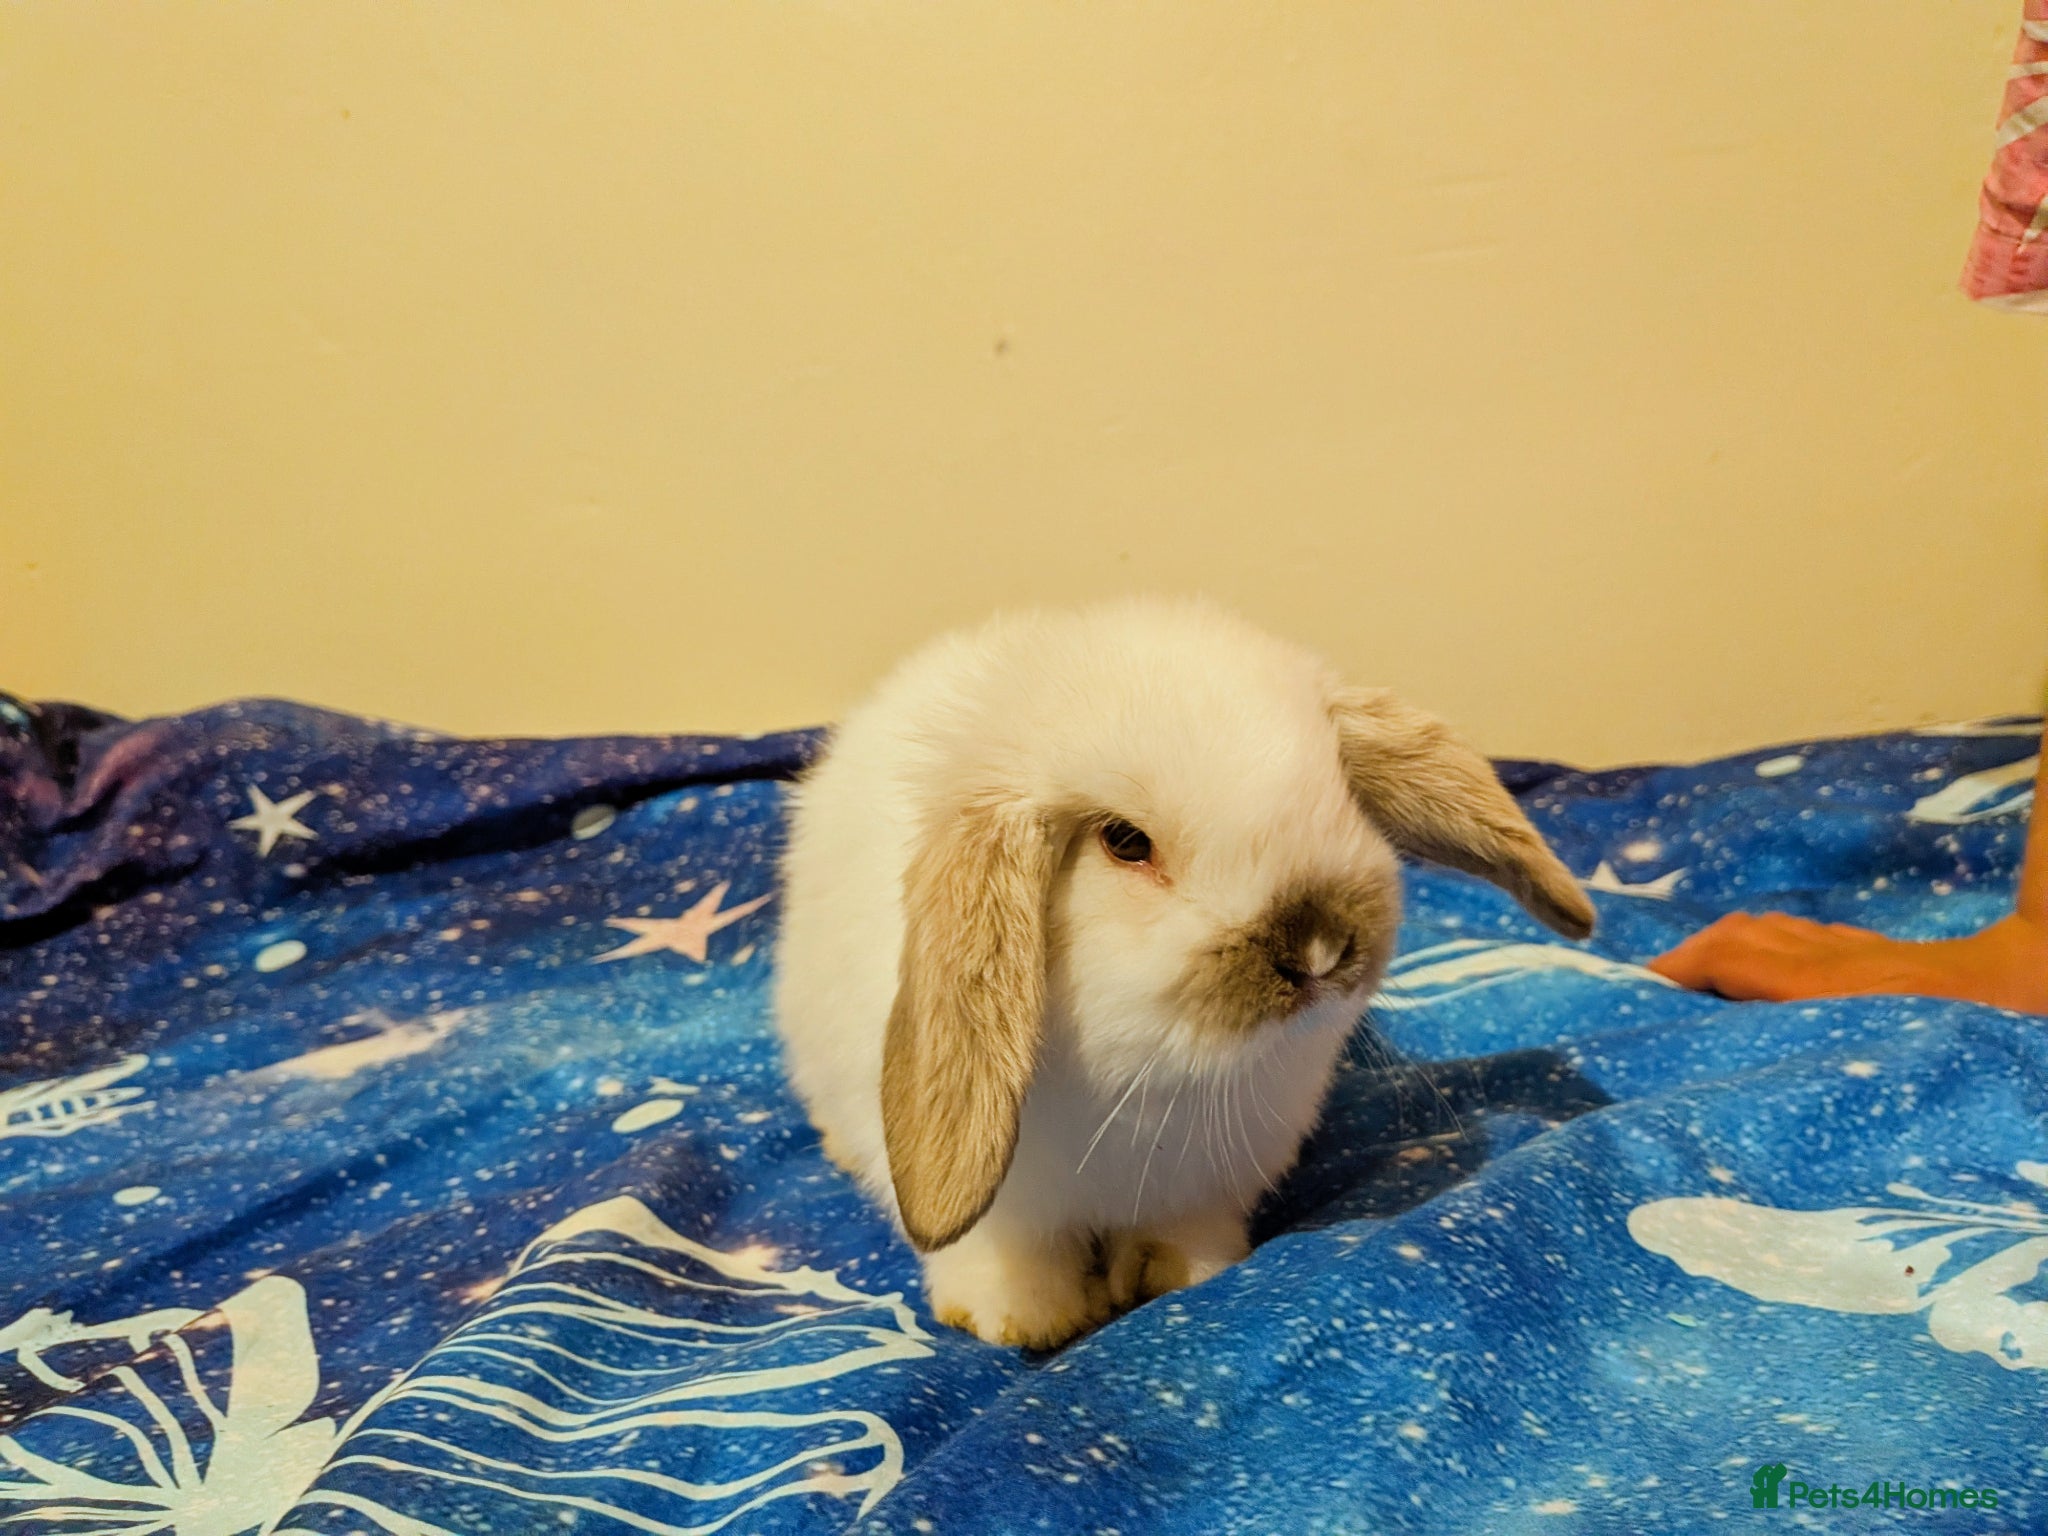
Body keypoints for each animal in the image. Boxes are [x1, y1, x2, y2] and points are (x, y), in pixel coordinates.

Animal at [773, 598, 1593, 1348]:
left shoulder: (1200, 1188)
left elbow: (1183, 1239)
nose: (1321, 950)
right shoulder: (1010, 1214)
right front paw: (1023, 1322)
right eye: (1125, 841)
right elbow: (1007, 1257)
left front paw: (1181, 1277)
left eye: (1338, 794)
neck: (1158, 1082)